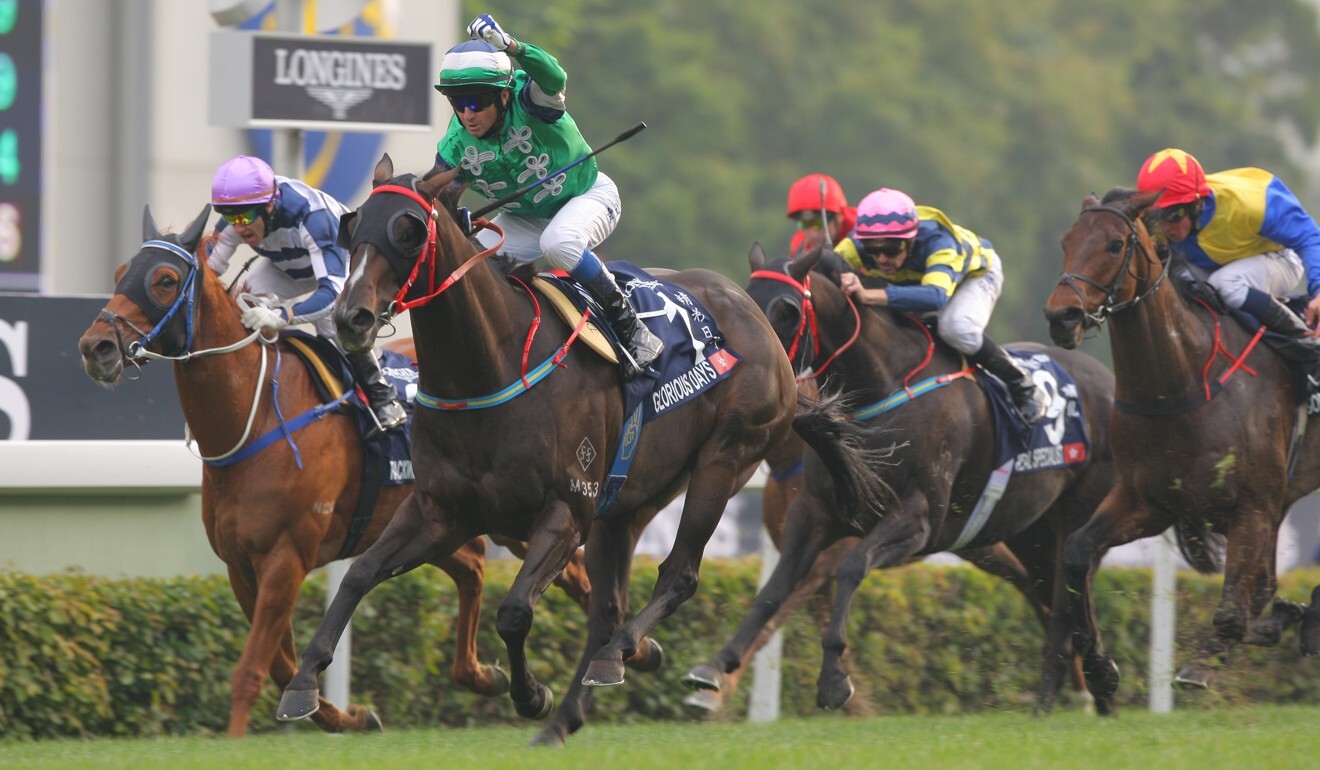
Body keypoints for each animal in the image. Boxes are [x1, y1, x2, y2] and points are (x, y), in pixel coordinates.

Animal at [81, 207, 594, 739]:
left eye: (164, 280)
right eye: (119, 274)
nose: (96, 346)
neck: (255, 417)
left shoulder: (286, 557)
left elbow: (252, 670)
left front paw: (239, 735)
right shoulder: (240, 566)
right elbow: (280, 664)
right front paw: (347, 715)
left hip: (509, 517)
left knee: (576, 578)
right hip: (444, 518)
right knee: (473, 566)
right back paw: (489, 675)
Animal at [273, 158, 892, 744]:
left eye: (406, 229)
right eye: (352, 225)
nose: (351, 316)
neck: (492, 364)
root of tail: (759, 321)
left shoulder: (566, 510)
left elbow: (515, 611)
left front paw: (530, 695)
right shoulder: (442, 510)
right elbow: (360, 574)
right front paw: (302, 684)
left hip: (724, 459)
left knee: (678, 575)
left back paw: (619, 657)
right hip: (629, 504)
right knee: (608, 606)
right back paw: (580, 702)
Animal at [686, 246, 1119, 718]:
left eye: (787, 309)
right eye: (744, 302)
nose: (756, 374)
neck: (884, 384)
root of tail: (1105, 378)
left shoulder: (916, 518)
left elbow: (852, 566)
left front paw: (834, 679)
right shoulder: (813, 513)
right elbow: (774, 590)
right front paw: (713, 669)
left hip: (1075, 513)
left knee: (1069, 594)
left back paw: (1085, 683)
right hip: (1027, 531)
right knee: (1050, 593)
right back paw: (1081, 687)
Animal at [1040, 188, 1320, 697]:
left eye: (1114, 244)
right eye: (1066, 241)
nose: (1061, 316)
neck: (1182, 381)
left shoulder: (1252, 506)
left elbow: (1231, 614)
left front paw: (1202, 665)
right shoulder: (1149, 500)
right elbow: (1075, 552)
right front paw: (1100, 667)